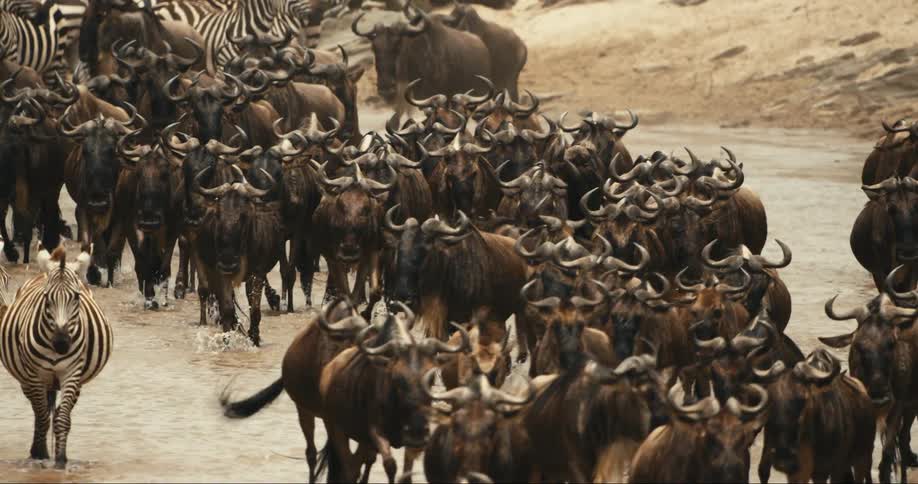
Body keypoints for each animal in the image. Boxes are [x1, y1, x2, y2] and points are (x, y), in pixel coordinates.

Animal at [0, 246, 112, 468]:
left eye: (76, 297)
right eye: (46, 297)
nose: (61, 343)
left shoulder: (72, 374)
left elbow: (62, 419)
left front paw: (60, 461)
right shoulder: (35, 375)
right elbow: (43, 416)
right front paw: (41, 455)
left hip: (76, 382)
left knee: (60, 412)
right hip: (27, 380)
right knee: (39, 412)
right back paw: (36, 450)